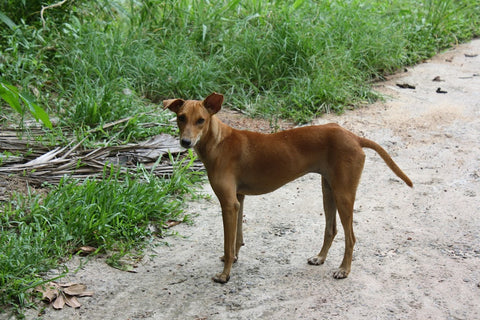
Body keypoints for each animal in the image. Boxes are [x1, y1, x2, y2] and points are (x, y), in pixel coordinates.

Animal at [163, 92, 410, 282]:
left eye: (201, 120)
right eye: (181, 118)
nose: (185, 143)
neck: (218, 141)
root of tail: (354, 137)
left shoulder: (228, 204)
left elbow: (227, 242)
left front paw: (225, 275)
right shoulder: (238, 199)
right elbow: (237, 239)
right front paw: (232, 258)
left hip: (344, 194)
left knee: (351, 237)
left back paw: (344, 269)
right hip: (329, 190)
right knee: (331, 229)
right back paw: (320, 258)